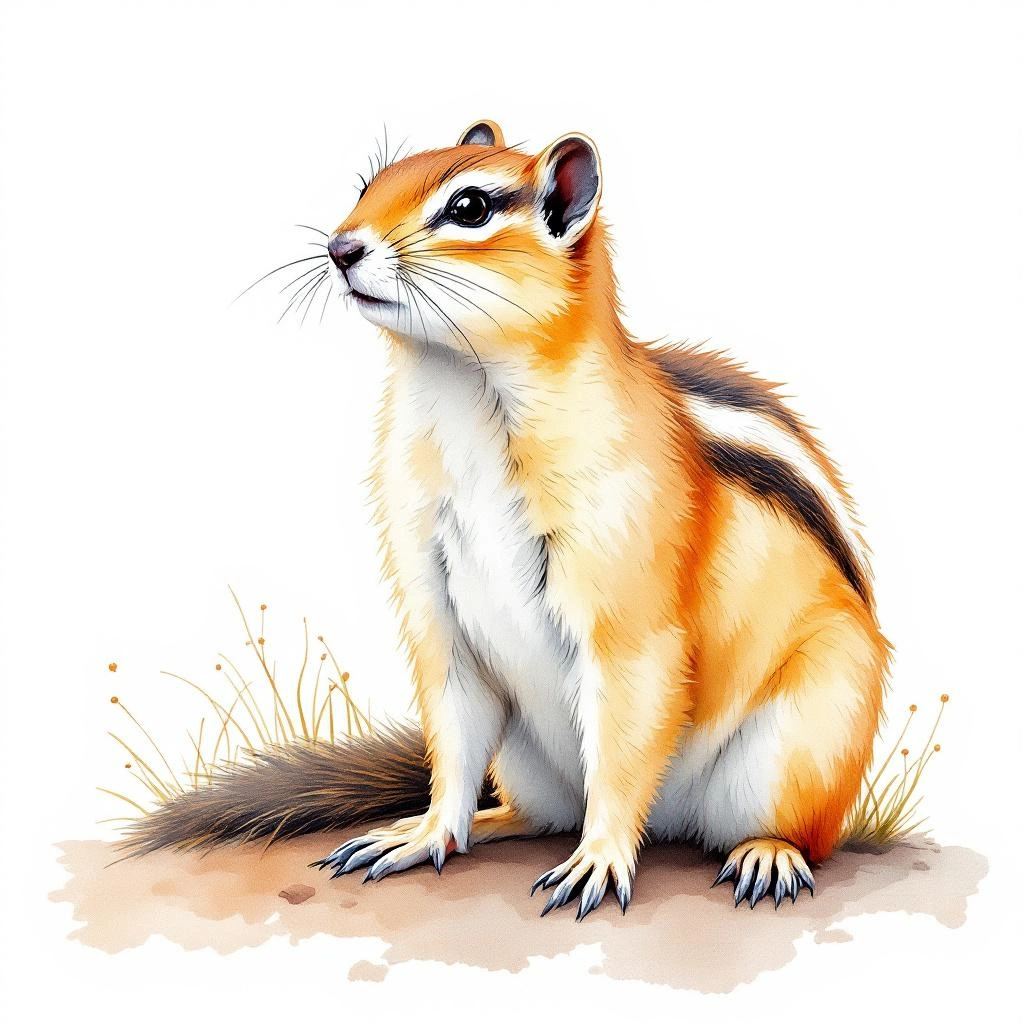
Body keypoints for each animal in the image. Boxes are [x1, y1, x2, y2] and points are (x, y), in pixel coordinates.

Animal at [126, 120, 889, 918]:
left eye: (469, 207)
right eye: (368, 185)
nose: (340, 247)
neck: (460, 383)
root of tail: (672, 821)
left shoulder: (627, 598)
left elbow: (628, 728)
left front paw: (601, 857)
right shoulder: (432, 596)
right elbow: (452, 728)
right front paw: (426, 830)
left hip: (807, 735)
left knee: (790, 829)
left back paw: (766, 854)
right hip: (525, 757)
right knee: (538, 809)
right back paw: (485, 822)